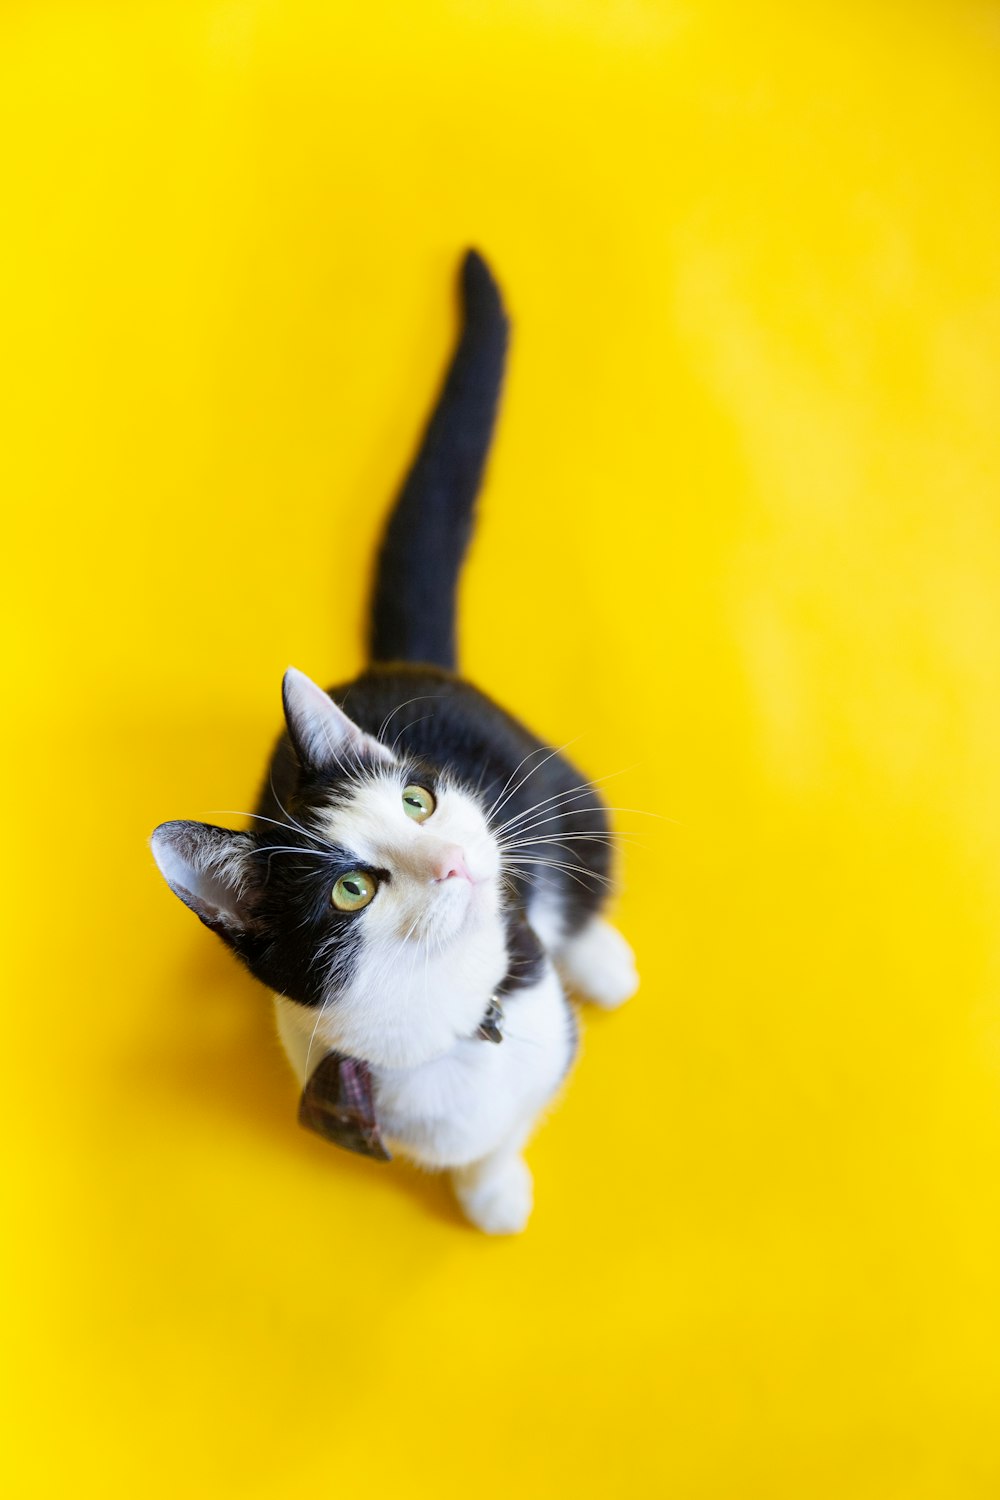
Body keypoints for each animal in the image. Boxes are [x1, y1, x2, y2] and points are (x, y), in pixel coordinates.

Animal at [154, 249, 641, 1230]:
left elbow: (520, 1108)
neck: (453, 1022)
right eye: (350, 890)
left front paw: (494, 1187)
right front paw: (486, 1181)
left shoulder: (538, 1009)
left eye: (418, 799)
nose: (452, 861)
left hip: (561, 785)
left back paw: (604, 960)